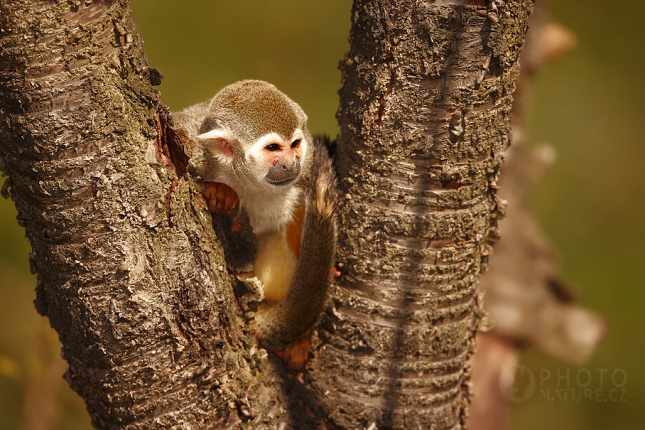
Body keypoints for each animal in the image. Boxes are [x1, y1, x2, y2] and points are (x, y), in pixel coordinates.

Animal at [176, 80, 338, 362]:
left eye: (295, 144)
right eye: (273, 148)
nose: (291, 164)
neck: (248, 179)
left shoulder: (307, 165)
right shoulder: (194, 146)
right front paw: (220, 192)